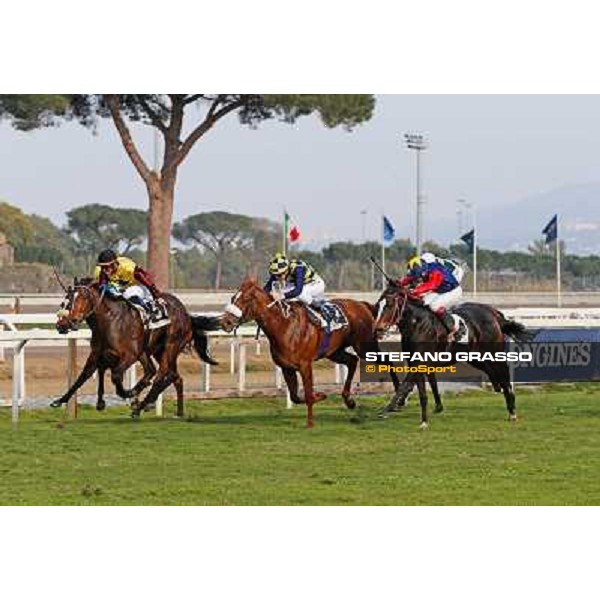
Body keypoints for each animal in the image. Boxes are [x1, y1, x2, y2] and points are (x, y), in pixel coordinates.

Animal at [52, 278, 220, 414]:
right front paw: (60, 400)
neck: (109, 320)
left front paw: (128, 393)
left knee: (162, 375)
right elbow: (83, 376)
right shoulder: (97, 354)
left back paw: (141, 405)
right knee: (167, 375)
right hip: (152, 351)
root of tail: (187, 315)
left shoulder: (130, 355)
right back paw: (176, 412)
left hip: (171, 346)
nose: (62, 324)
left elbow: (115, 375)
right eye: (67, 298)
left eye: (82, 298)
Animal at [218, 278, 400, 428]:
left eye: (246, 299)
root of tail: (363, 305)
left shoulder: (305, 365)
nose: (225, 322)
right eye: (233, 298)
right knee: (352, 361)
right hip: (334, 351)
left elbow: (307, 393)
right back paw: (349, 400)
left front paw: (310, 422)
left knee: (387, 361)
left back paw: (398, 395)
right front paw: (321, 395)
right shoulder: (287, 368)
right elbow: (295, 396)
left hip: (365, 346)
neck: (283, 326)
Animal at [372, 282, 532, 426]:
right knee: (493, 373)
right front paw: (424, 421)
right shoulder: (415, 362)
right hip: (475, 357)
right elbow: (421, 392)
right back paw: (498, 389)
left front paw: (387, 409)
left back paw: (512, 411)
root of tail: (493, 314)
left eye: (389, 305)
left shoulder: (419, 362)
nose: (378, 329)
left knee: (504, 376)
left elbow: (404, 386)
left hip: (494, 353)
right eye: (377, 306)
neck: (417, 325)